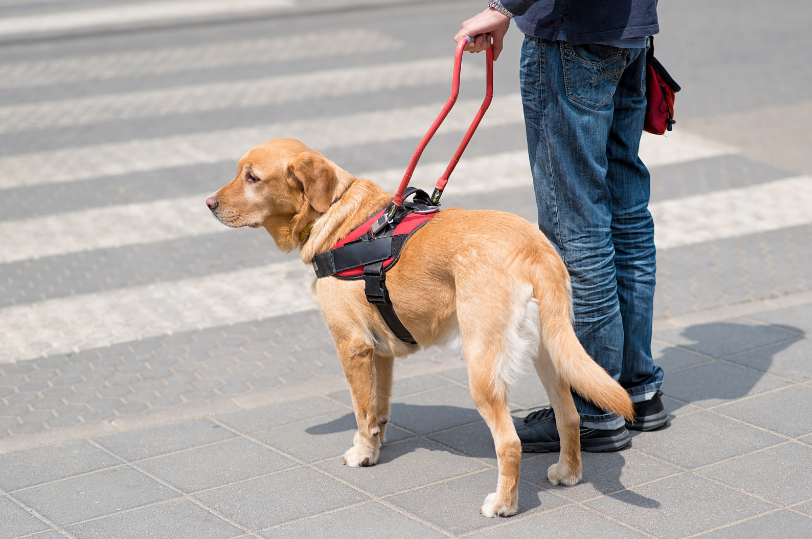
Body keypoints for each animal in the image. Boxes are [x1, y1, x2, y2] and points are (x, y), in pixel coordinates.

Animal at [205, 137, 636, 516]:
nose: (208, 204)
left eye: (252, 177)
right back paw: (568, 473)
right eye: (239, 171)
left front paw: (362, 454)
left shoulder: (352, 346)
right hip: (550, 353)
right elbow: (377, 411)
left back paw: (503, 504)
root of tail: (535, 249)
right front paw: (375, 448)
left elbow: (361, 412)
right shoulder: (379, 351)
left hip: (483, 367)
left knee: (509, 443)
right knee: (570, 416)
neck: (336, 213)